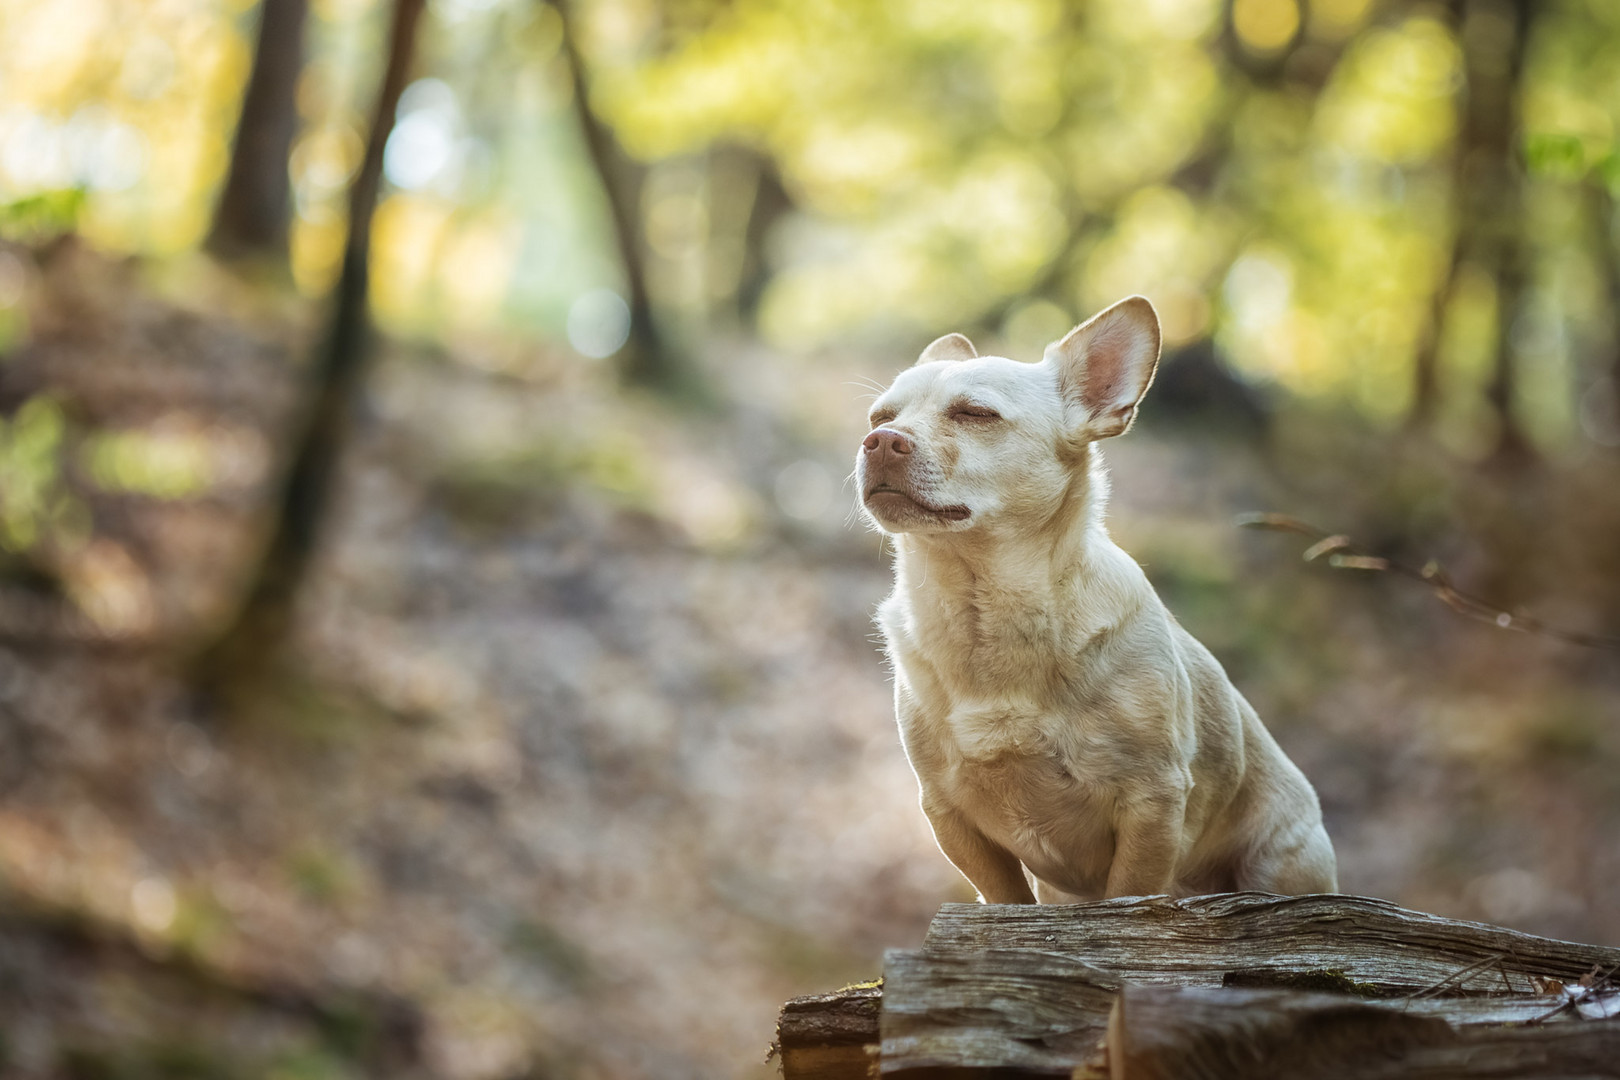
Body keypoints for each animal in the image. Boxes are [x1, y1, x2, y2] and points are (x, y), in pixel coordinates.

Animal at [855, 296, 1334, 906]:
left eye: (975, 414)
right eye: (878, 417)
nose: (880, 441)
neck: (986, 610)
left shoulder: (1153, 804)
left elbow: (1130, 896)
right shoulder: (951, 815)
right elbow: (1006, 898)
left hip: (1278, 864)